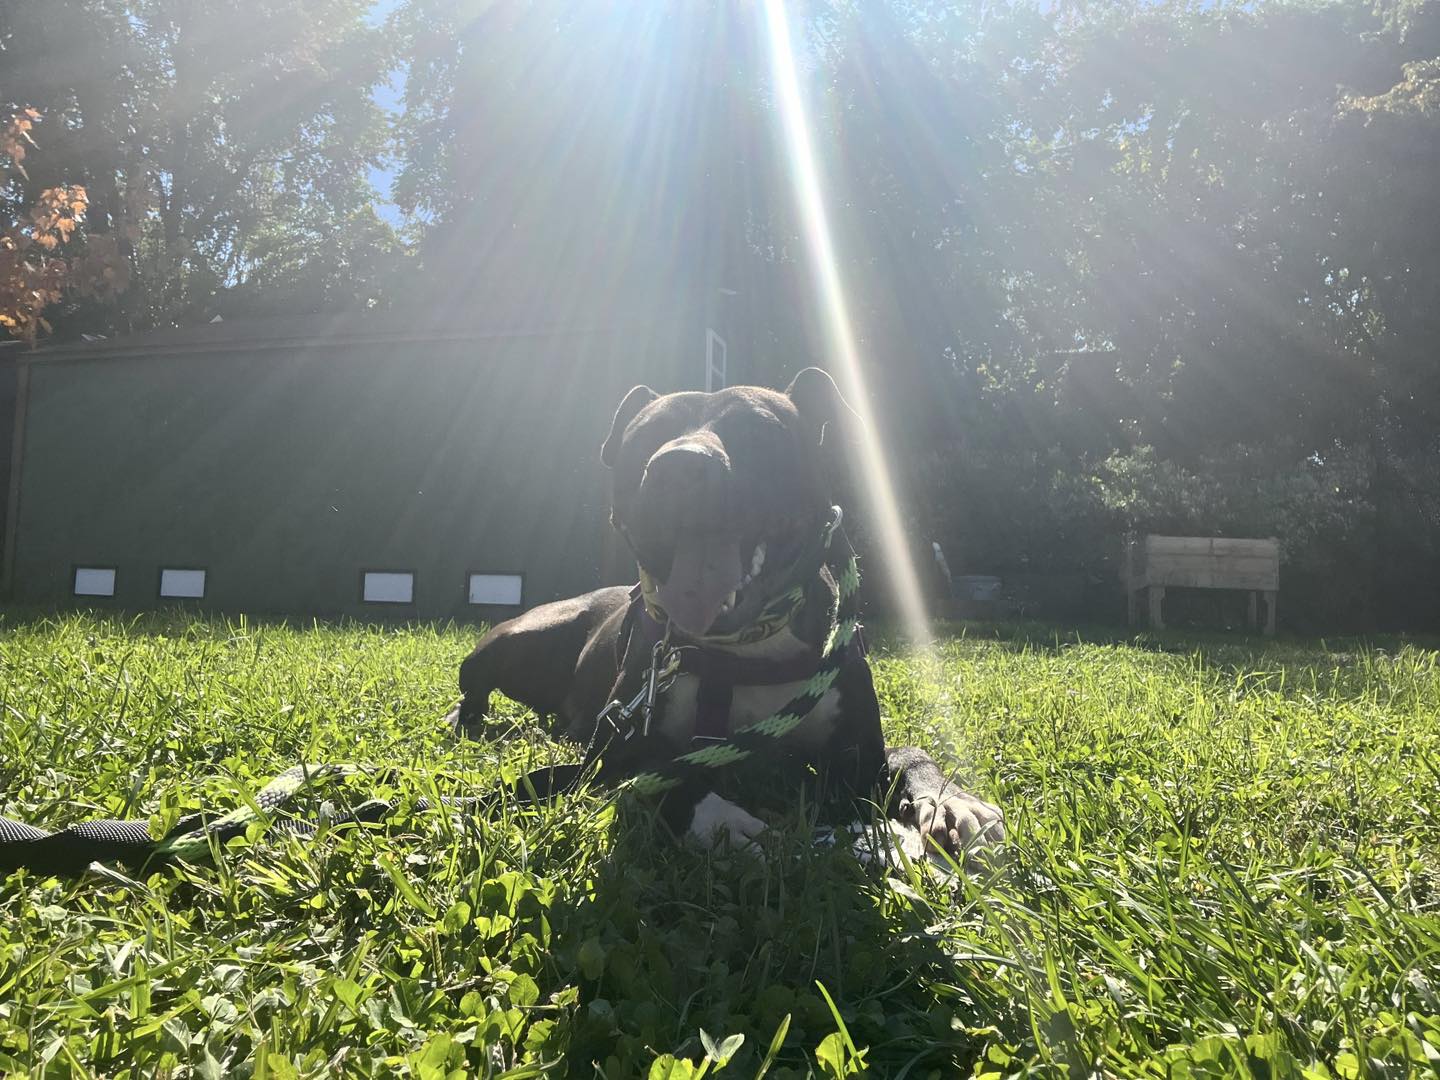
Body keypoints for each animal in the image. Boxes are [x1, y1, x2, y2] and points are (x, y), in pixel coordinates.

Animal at [446, 371, 1002, 864]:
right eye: (646, 436)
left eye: (758, 432)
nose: (676, 466)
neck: (742, 650)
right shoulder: (610, 756)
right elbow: (658, 773)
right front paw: (719, 818)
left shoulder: (859, 756)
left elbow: (911, 753)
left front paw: (951, 802)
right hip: (514, 639)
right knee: (474, 687)